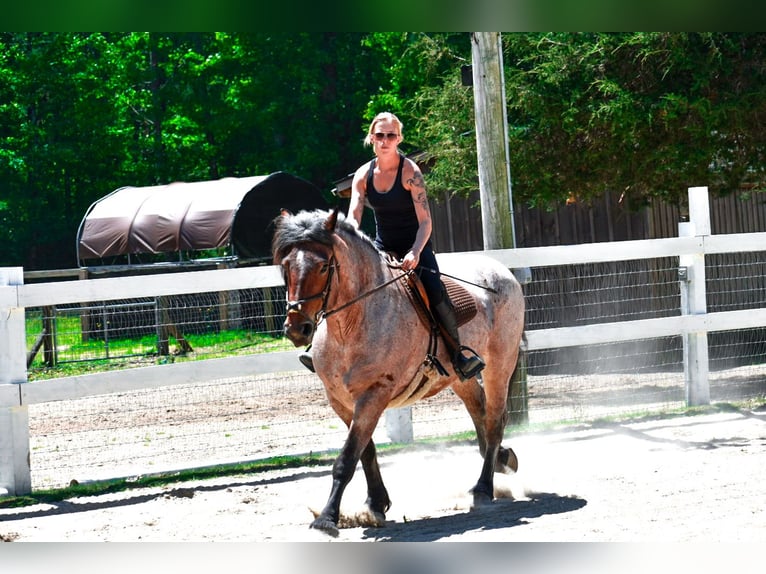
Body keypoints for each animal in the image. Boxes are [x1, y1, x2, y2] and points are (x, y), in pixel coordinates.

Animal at [272, 208, 532, 540]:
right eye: (286, 266)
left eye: (323, 266)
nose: (297, 328)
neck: (353, 323)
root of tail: (502, 271)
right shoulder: (340, 400)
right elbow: (365, 451)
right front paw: (375, 504)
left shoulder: (374, 394)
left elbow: (347, 458)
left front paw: (327, 519)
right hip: (460, 378)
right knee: (480, 415)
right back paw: (501, 459)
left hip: (501, 364)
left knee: (494, 421)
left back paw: (484, 488)